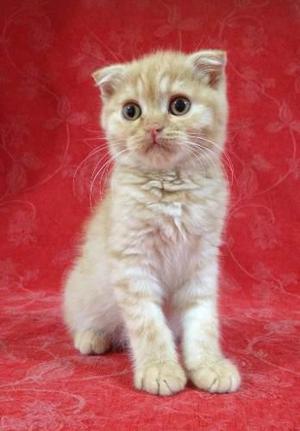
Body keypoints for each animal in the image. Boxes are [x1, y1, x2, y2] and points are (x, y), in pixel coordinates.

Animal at [63, 49, 241, 396]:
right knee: (82, 317)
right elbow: (147, 324)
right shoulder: (133, 263)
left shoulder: (201, 263)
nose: (154, 128)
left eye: (179, 105)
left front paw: (209, 365)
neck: (170, 188)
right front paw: (160, 369)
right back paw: (92, 336)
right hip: (84, 289)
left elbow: (203, 320)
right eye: (131, 111)